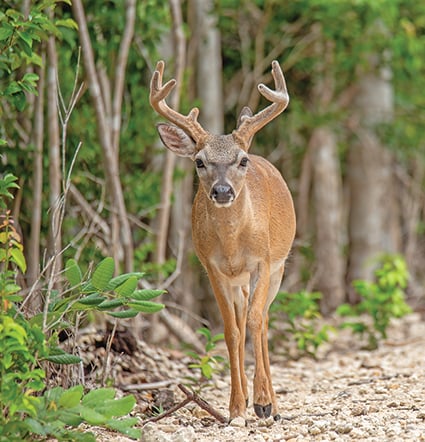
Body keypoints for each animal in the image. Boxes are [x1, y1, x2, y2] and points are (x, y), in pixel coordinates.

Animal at [149, 58, 294, 422]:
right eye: (200, 162)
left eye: (242, 160)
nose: (223, 191)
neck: (232, 246)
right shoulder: (212, 268)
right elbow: (231, 331)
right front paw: (236, 407)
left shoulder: (263, 261)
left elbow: (256, 321)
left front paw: (262, 402)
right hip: (237, 281)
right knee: (243, 320)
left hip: (279, 268)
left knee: (263, 320)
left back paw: (273, 404)